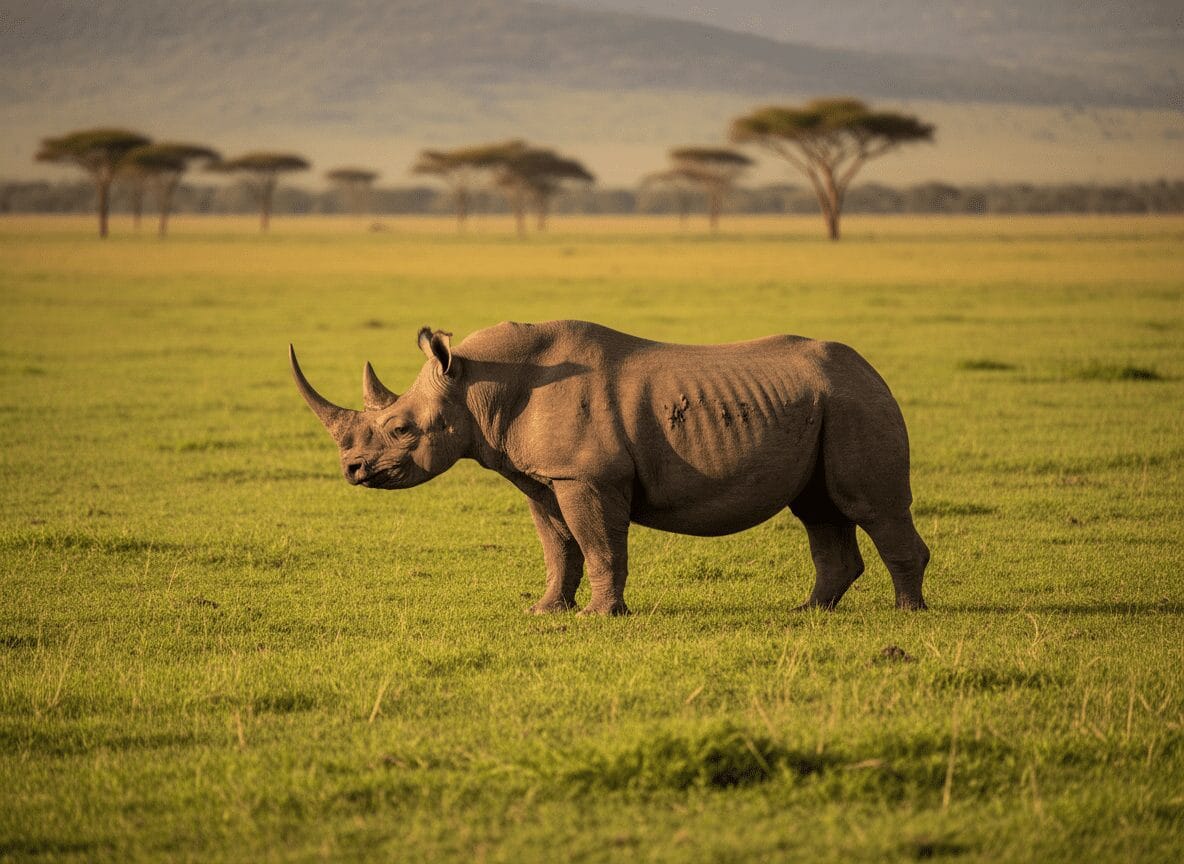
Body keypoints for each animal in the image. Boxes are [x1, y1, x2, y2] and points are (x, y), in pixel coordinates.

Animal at [290, 320, 930, 614]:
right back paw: (808, 612)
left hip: (856, 403)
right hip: (830, 403)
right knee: (820, 509)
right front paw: (547, 610)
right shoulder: (544, 477)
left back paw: (907, 615)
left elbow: (598, 542)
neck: (478, 384)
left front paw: (601, 616)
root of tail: (873, 371)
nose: (353, 471)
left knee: (869, 506)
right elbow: (559, 546)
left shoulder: (587, 475)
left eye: (401, 430)